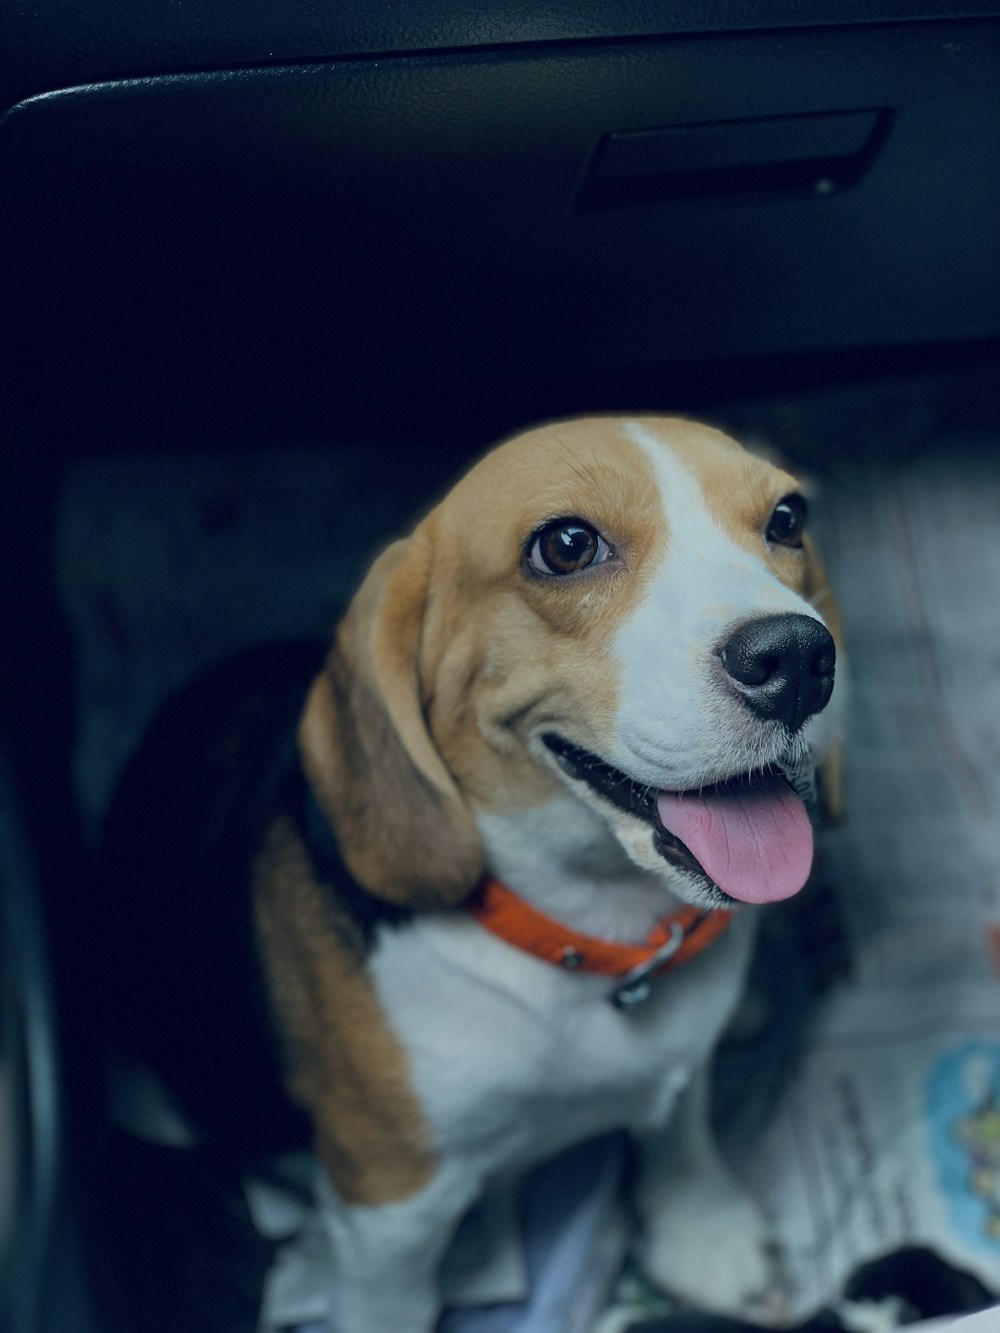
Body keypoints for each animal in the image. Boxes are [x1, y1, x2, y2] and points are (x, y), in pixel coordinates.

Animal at [100, 415, 837, 1333]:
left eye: (786, 518)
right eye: (566, 545)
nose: (800, 658)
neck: (589, 935)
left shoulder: (678, 1056)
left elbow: (681, 1127)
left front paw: (705, 1231)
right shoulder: (389, 1214)